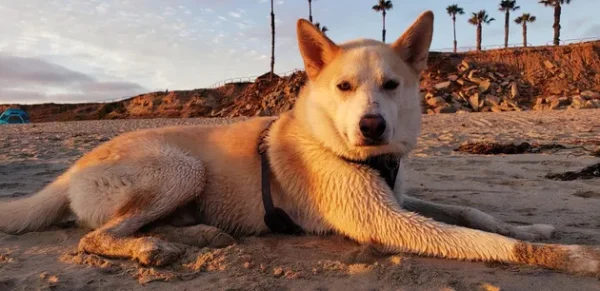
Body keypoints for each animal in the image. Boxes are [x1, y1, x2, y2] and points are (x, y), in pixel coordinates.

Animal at [1, 11, 600, 278]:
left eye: (391, 85)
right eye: (343, 87)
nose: (372, 127)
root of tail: (68, 171)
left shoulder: (400, 197)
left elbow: (476, 214)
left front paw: (534, 227)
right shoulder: (386, 220)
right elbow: (489, 242)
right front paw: (574, 256)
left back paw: (198, 234)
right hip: (180, 168)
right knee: (94, 236)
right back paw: (153, 248)